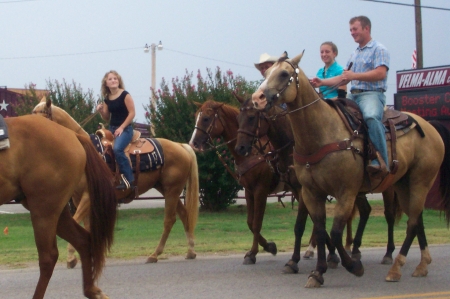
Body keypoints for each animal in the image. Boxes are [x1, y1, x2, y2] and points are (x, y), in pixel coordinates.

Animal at [0, 115, 116, 299]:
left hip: (44, 209)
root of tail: (72, 135)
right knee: (83, 240)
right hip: (57, 211)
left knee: (48, 257)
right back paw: (91, 290)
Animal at [32, 98, 200, 264]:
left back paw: (155, 254)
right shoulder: (78, 199)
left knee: (169, 220)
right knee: (184, 214)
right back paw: (191, 251)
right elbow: (86, 226)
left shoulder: (87, 197)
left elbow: (77, 221)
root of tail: (180, 146)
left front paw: (71, 257)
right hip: (166, 189)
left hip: (172, 190)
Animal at [187, 99, 342, 270]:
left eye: (206, 118)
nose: (193, 143)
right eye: (196, 116)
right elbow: (250, 222)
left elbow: (256, 223)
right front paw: (268, 246)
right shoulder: (249, 191)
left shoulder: (260, 191)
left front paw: (254, 253)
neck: (252, 153)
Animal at [234, 95, 400, 266]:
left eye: (252, 117)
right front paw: (331, 252)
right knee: (365, 210)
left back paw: (387, 252)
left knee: (389, 214)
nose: (240, 148)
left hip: (387, 185)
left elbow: (297, 224)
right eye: (238, 118)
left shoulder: (284, 190)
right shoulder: (298, 190)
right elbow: (315, 220)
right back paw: (354, 250)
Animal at [251, 53, 450, 288]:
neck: (321, 134)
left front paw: (353, 266)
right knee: (416, 218)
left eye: (283, 73)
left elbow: (335, 232)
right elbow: (320, 230)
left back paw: (395, 268)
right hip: (403, 183)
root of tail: (429, 125)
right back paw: (422, 264)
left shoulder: (345, 192)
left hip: (421, 181)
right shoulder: (311, 192)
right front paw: (318, 272)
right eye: (267, 72)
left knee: (410, 222)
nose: (257, 98)